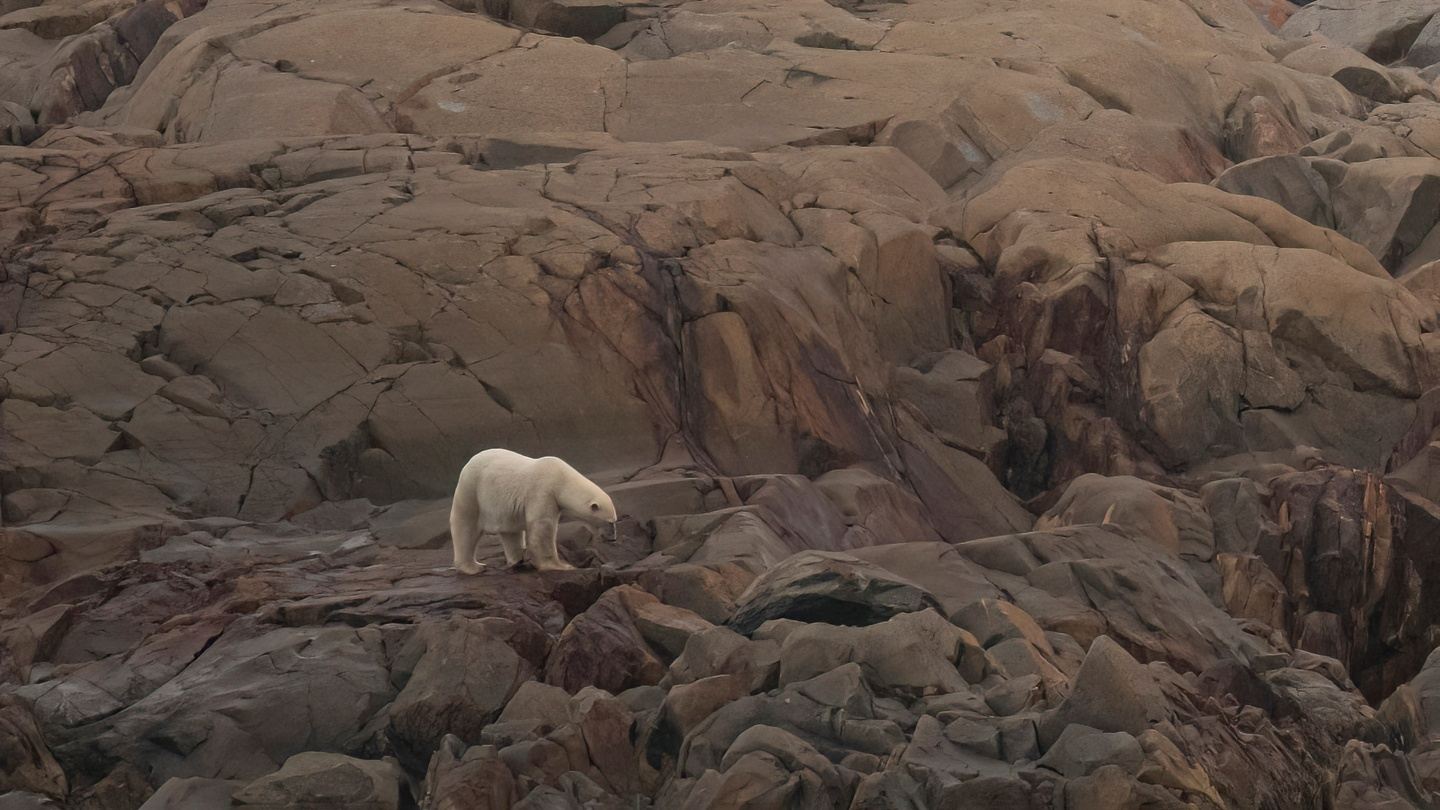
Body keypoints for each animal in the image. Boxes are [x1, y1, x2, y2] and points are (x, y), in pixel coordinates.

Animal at [449, 448, 618, 573]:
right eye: (610, 522)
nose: (613, 538)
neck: (560, 479)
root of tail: (468, 463)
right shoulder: (543, 491)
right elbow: (542, 527)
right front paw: (562, 566)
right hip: (471, 489)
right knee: (465, 526)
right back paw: (474, 567)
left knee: (511, 532)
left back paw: (517, 560)